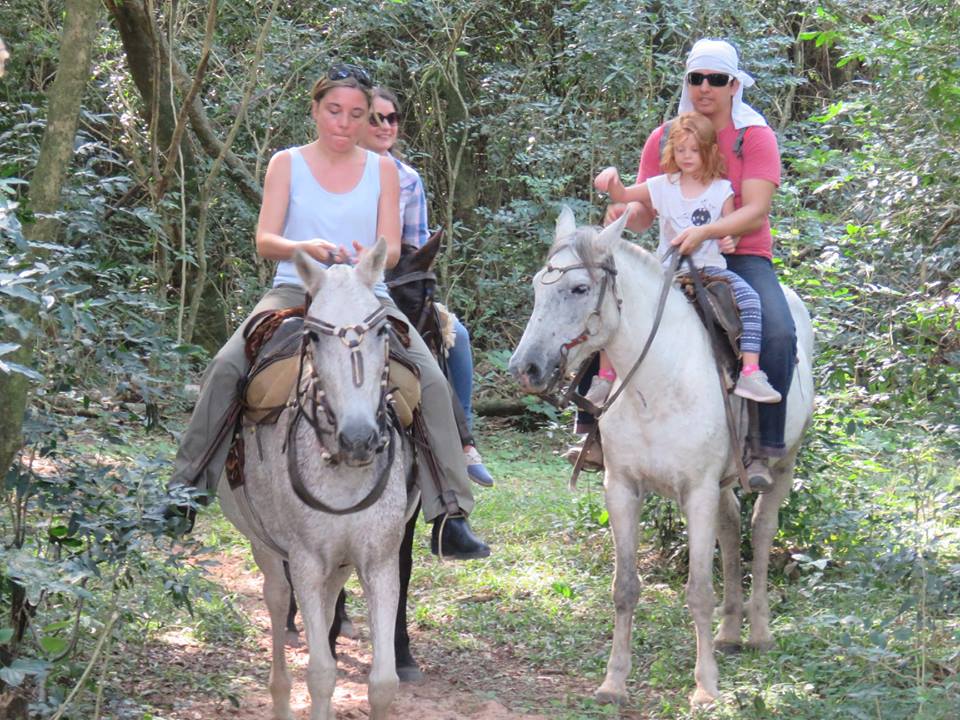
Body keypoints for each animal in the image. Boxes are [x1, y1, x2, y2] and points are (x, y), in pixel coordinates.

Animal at [506, 207, 812, 704]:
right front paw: (613, 682)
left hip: (783, 464)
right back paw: (730, 633)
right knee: (731, 529)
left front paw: (705, 688)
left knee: (761, 529)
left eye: (580, 288)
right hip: (723, 483)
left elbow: (699, 591)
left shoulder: (697, 491)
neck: (656, 383)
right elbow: (625, 588)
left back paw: (760, 632)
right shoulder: (622, 488)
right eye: (537, 285)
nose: (525, 368)